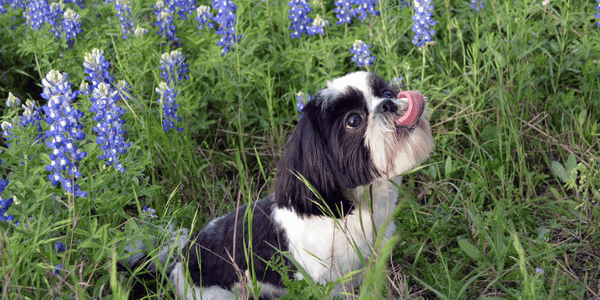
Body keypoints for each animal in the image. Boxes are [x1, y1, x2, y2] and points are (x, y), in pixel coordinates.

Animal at [122, 70, 432, 298]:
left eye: (387, 93)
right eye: (353, 120)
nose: (389, 104)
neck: (355, 208)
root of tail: (179, 259)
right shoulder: (326, 282)